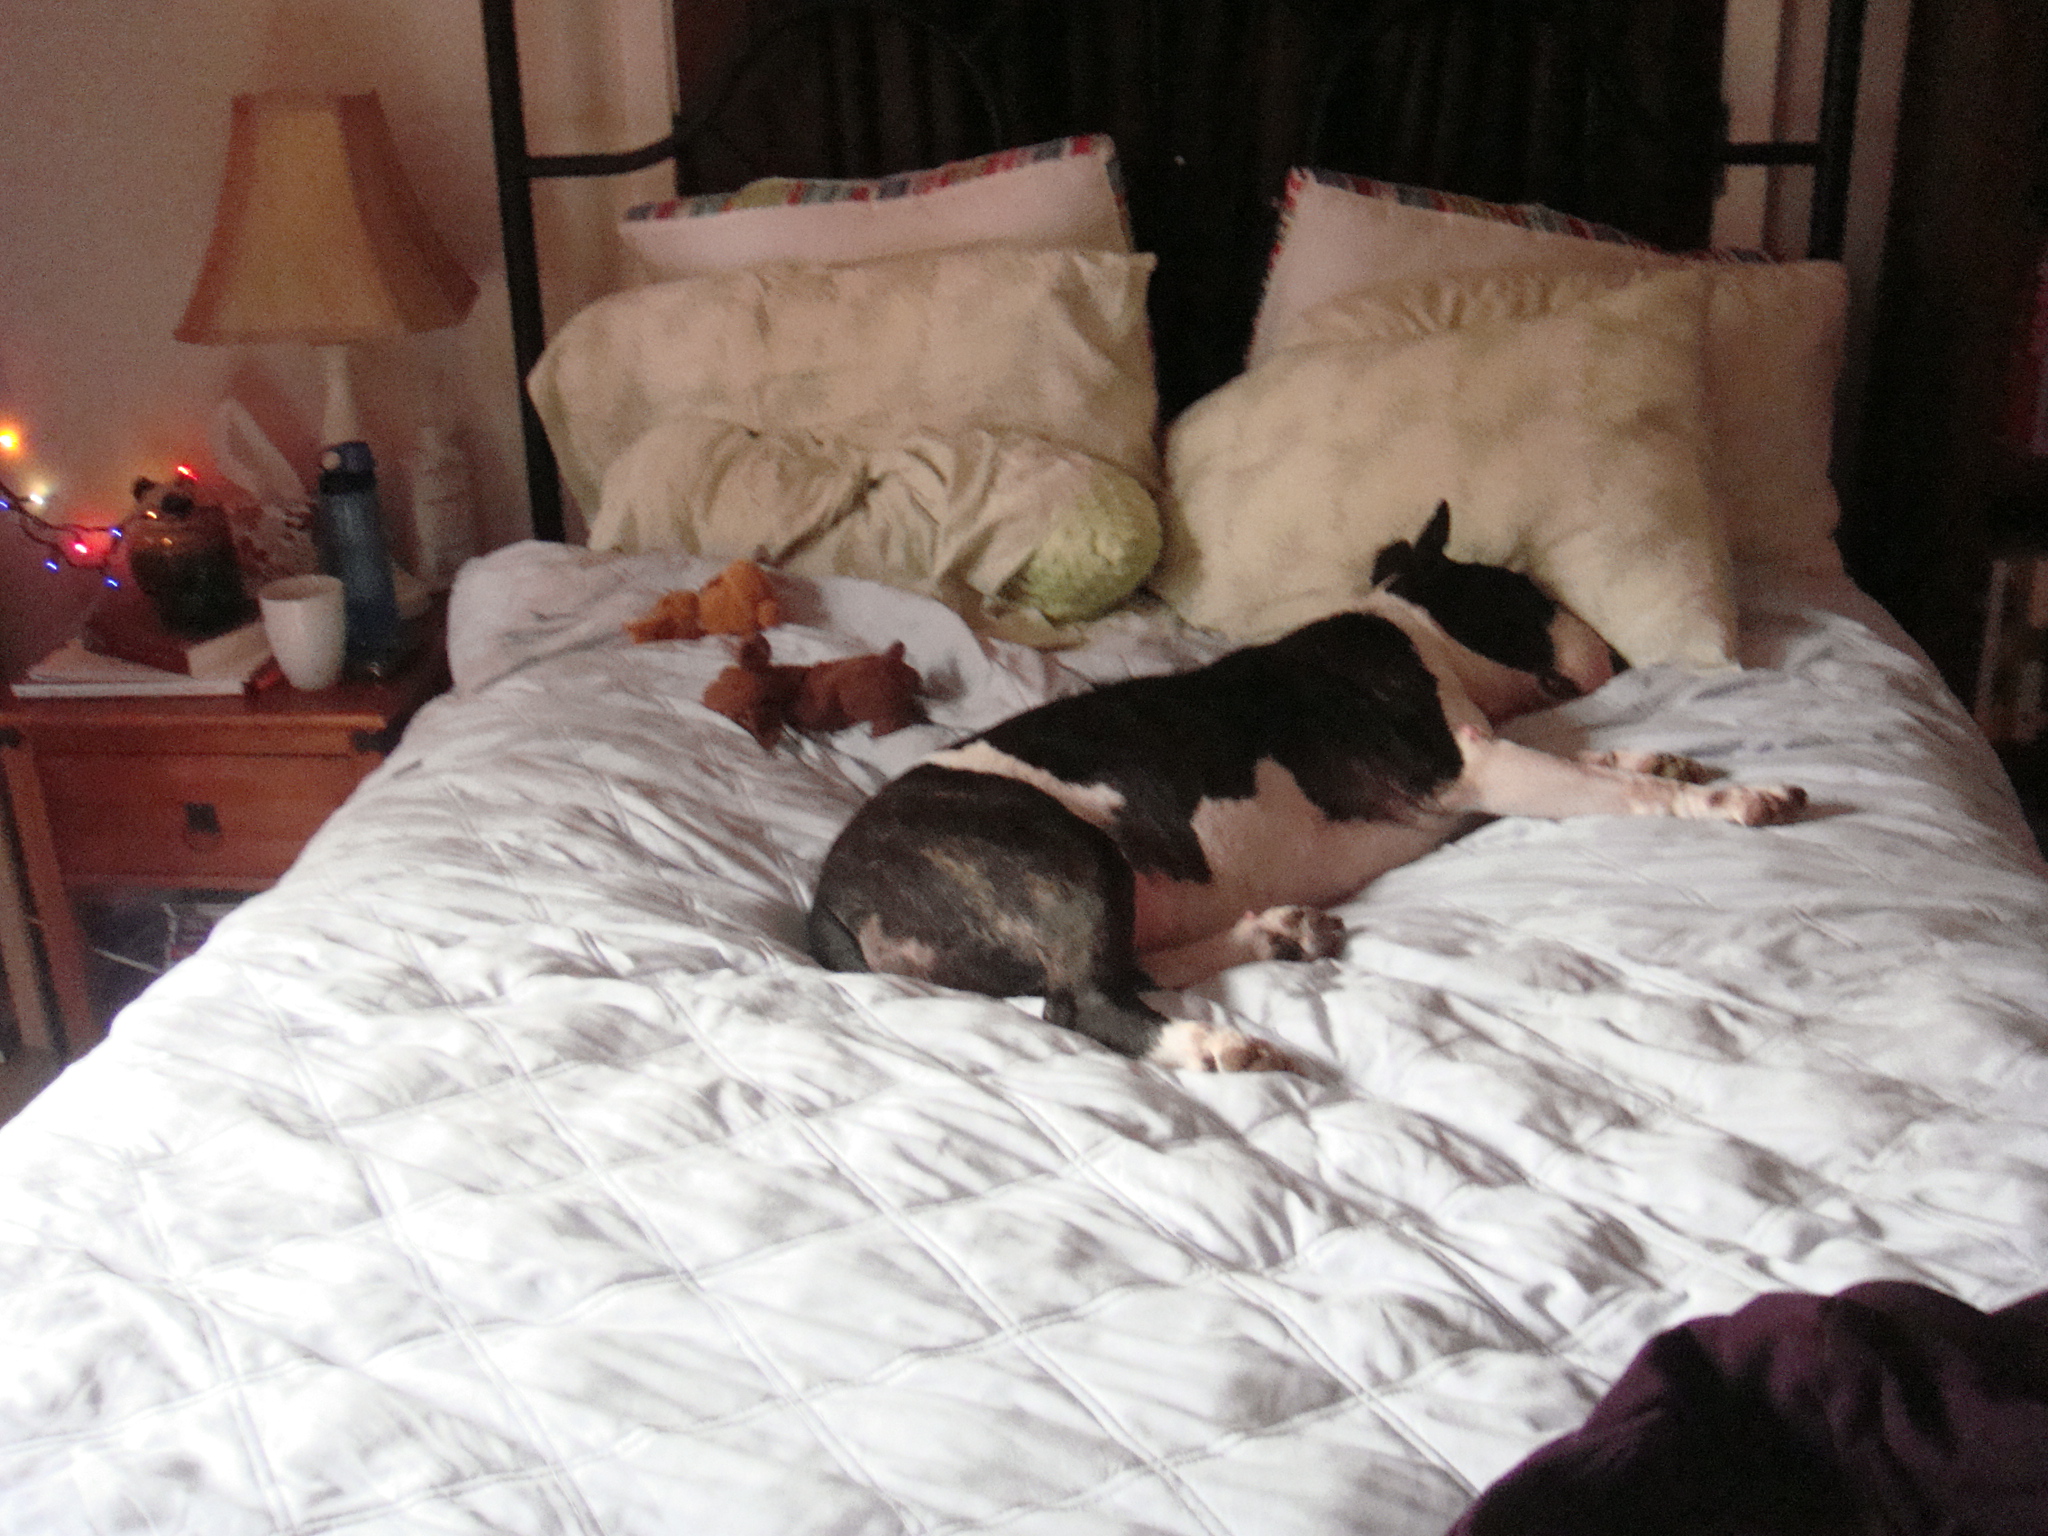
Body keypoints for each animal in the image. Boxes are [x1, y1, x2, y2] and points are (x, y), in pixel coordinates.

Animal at [807, 505, 1805, 1073]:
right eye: (1528, 594)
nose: (1626, 659)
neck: (1413, 627)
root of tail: (828, 900)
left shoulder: (1488, 769)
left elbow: (1594, 767)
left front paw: (1668, 762)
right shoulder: (1469, 767)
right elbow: (1593, 784)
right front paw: (1724, 801)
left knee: (1115, 966)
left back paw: (1277, 934)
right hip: (1063, 855)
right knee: (1078, 998)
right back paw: (1210, 1042)